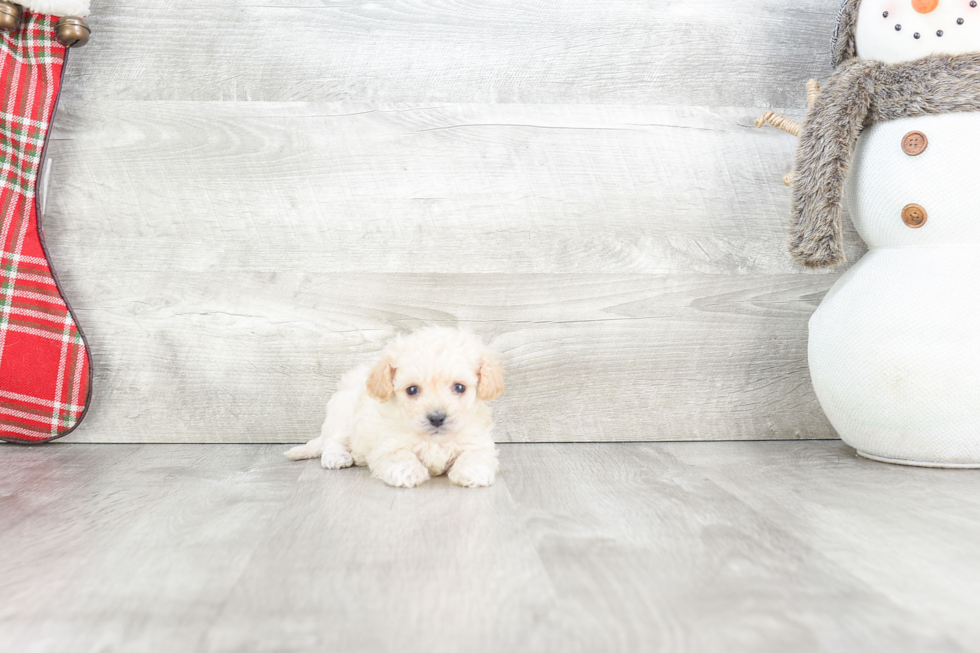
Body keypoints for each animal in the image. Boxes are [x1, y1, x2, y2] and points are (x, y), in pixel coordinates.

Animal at [282, 328, 498, 486]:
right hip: (343, 412)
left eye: (459, 387)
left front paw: (472, 471)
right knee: (333, 441)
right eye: (412, 390)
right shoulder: (389, 443)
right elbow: (400, 455)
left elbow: (476, 454)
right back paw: (337, 457)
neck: (434, 440)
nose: (437, 418)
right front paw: (407, 473)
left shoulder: (476, 440)